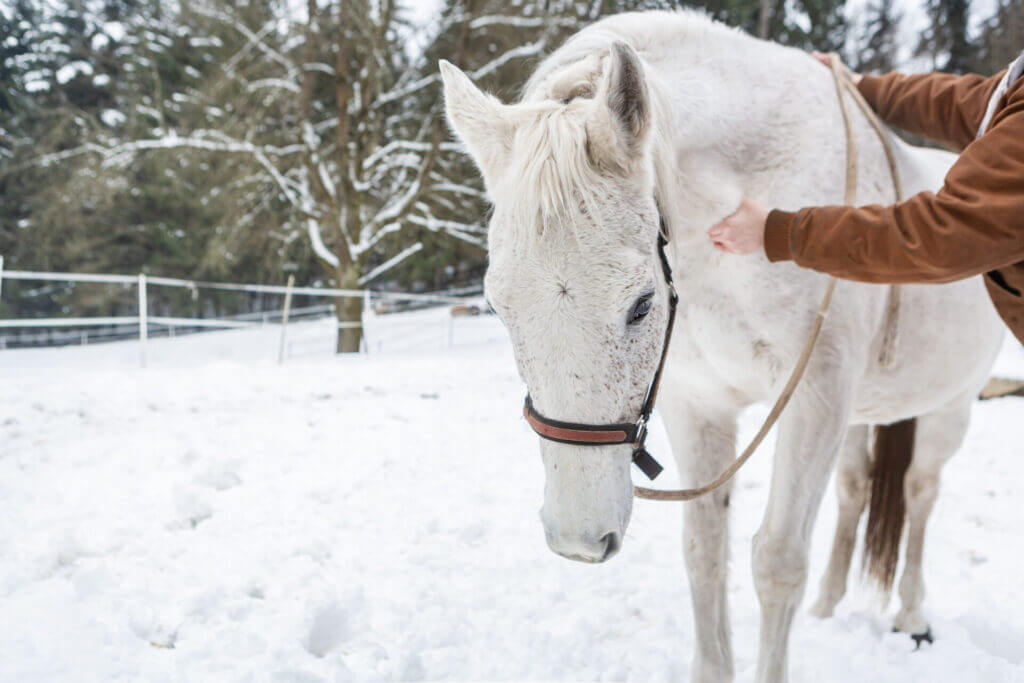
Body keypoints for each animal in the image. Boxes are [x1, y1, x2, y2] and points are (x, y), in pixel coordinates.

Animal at [440, 10, 1004, 683]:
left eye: (641, 304)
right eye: (499, 307)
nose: (578, 539)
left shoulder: (815, 399)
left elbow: (778, 561)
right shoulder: (699, 404)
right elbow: (704, 553)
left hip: (949, 405)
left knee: (919, 493)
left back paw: (913, 617)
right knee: (855, 489)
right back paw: (828, 605)